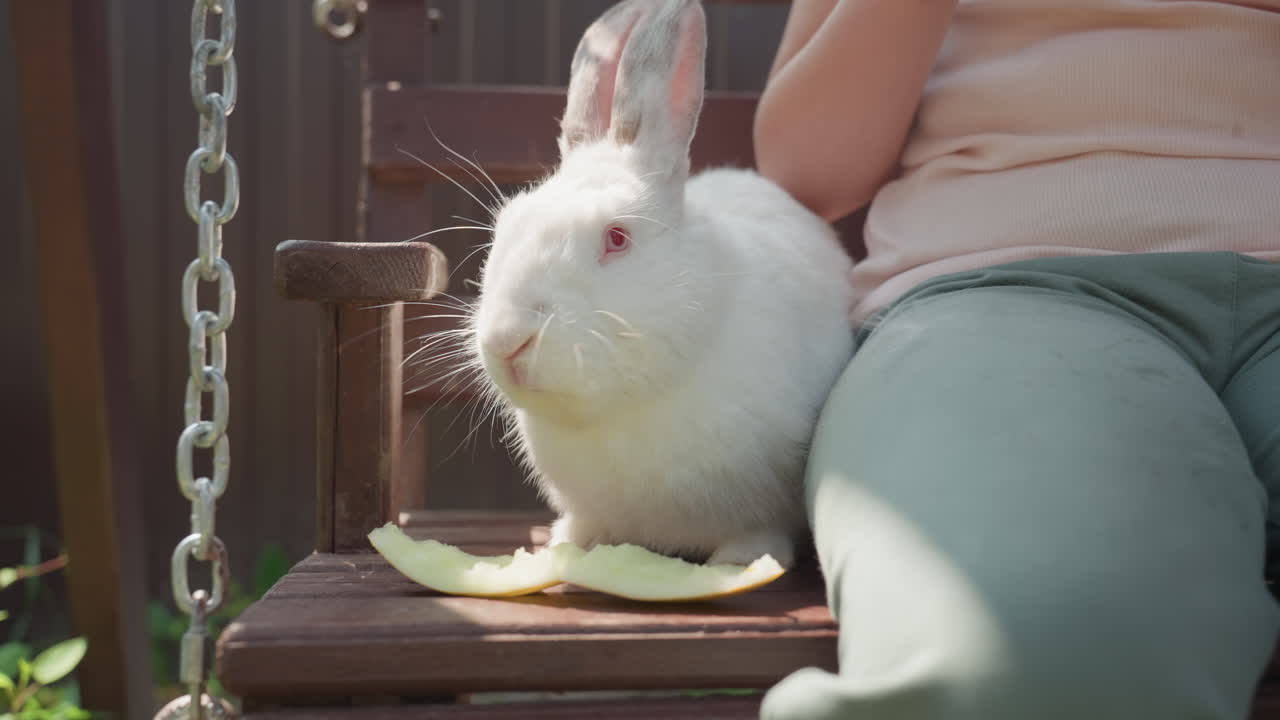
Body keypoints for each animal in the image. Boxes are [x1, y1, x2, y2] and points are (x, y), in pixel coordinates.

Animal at [469, 0, 854, 569]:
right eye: (507, 225)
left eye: (617, 238)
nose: (506, 339)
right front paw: (564, 544)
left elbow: (756, 531)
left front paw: (739, 562)